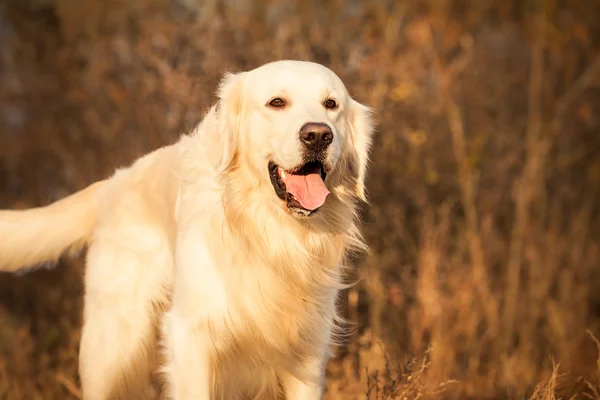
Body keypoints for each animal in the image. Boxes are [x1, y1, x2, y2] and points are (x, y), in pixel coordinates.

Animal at [0, 60, 372, 400]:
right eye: (276, 102)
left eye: (331, 104)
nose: (319, 135)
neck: (266, 230)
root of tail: (113, 183)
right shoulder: (191, 337)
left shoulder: (307, 348)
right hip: (113, 349)